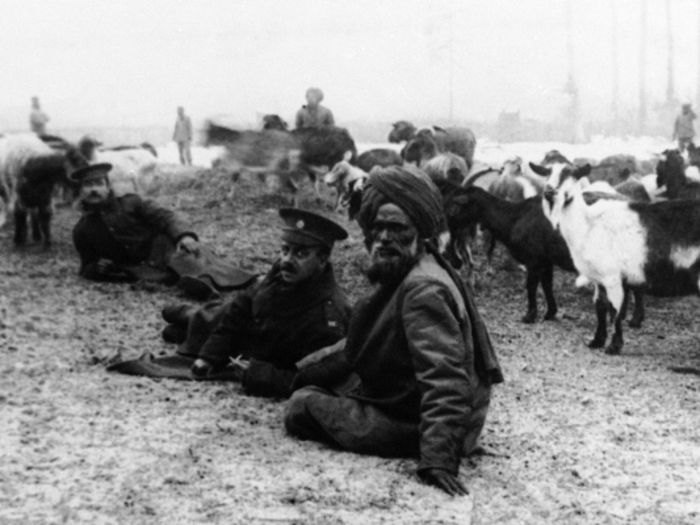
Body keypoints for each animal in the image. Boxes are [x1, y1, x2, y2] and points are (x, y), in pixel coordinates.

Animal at [544, 162, 700, 354]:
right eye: (547, 172)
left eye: (571, 174)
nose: (549, 191)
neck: (589, 224)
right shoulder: (599, 278)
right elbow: (600, 306)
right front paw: (597, 341)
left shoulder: (612, 276)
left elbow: (614, 309)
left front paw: (614, 346)